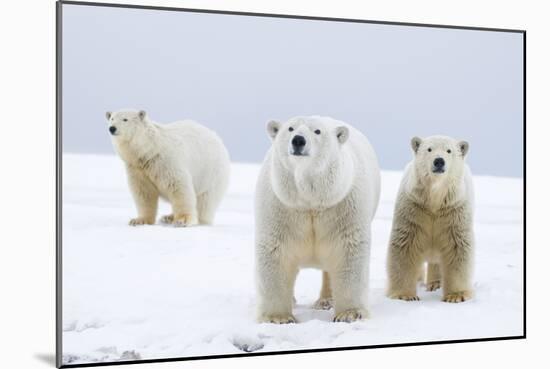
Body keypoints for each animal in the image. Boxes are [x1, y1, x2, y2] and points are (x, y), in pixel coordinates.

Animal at [256, 115, 382, 322]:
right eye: (290, 128)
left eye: (317, 131)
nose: (298, 140)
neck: (311, 202)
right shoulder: (281, 205)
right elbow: (277, 250)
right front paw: (279, 317)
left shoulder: (342, 204)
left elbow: (347, 250)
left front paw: (350, 313)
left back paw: (326, 301)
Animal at [386, 135, 476, 302]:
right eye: (429, 149)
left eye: (449, 150)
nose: (439, 161)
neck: (434, 200)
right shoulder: (414, 209)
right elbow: (405, 247)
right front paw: (405, 295)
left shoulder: (453, 211)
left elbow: (456, 248)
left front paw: (456, 296)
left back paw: (435, 284)